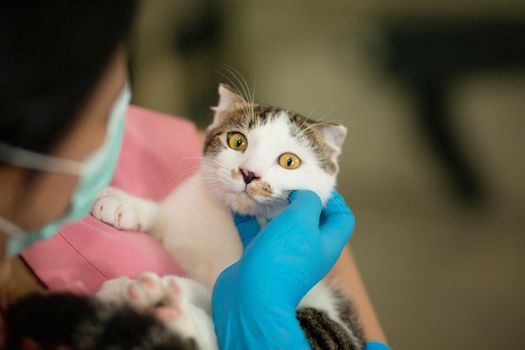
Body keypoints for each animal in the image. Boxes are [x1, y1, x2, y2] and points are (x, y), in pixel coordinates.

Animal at [4, 85, 362, 350]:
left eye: (289, 161)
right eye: (237, 141)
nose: (249, 173)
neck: (229, 224)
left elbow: (225, 294)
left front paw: (147, 289)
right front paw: (122, 203)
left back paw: (171, 313)